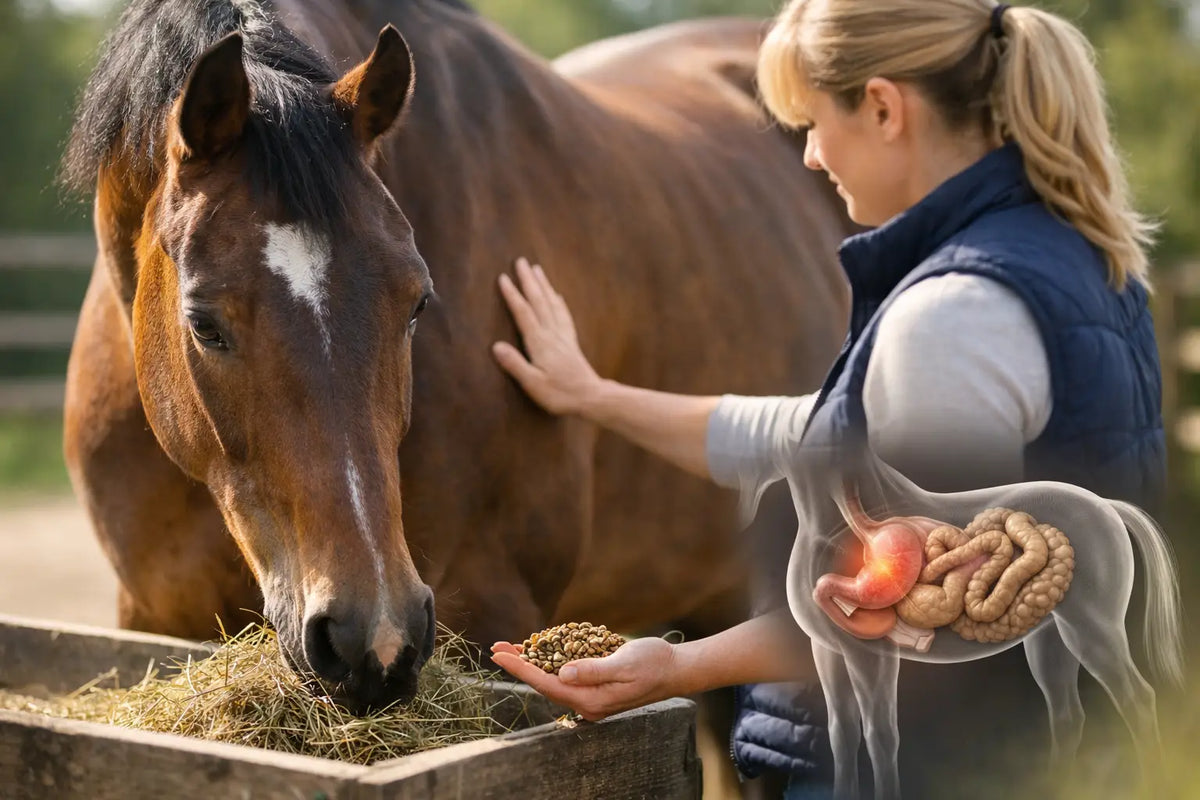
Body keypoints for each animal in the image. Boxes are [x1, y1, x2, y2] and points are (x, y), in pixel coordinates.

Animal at [775, 445, 1184, 799]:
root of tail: (1108, 508)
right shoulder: (828, 651)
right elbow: (842, 733)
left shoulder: (870, 656)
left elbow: (880, 735)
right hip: (1051, 638)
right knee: (1067, 715)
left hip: (1092, 630)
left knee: (1136, 700)